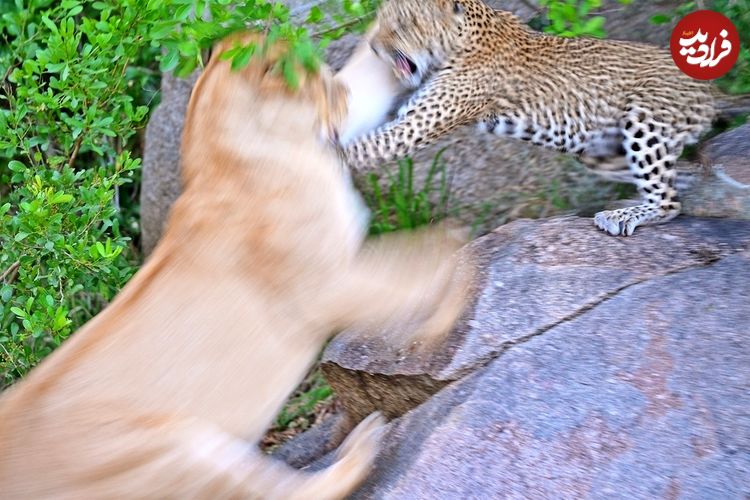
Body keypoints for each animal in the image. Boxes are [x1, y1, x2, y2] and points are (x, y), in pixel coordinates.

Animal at [340, 0, 716, 236]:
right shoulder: (411, 116)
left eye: (403, 25)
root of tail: (711, 91)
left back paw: (619, 216)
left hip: (644, 123)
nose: (373, 47)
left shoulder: (413, 126)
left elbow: (357, 149)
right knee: (680, 180)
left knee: (669, 202)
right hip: (601, 152)